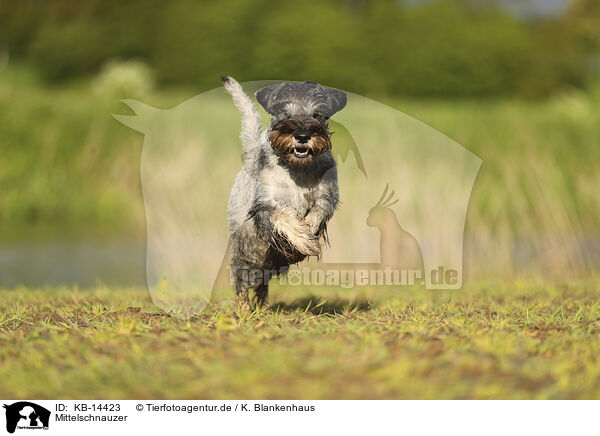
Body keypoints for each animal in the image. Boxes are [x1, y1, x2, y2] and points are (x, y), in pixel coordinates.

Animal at [223, 76, 346, 308]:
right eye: (283, 111)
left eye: (317, 113)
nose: (302, 135)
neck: (297, 168)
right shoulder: (265, 204)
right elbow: (284, 215)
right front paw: (303, 239)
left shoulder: (327, 195)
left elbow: (318, 211)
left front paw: (309, 233)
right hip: (248, 244)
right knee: (243, 275)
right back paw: (243, 308)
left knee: (262, 279)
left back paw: (261, 305)